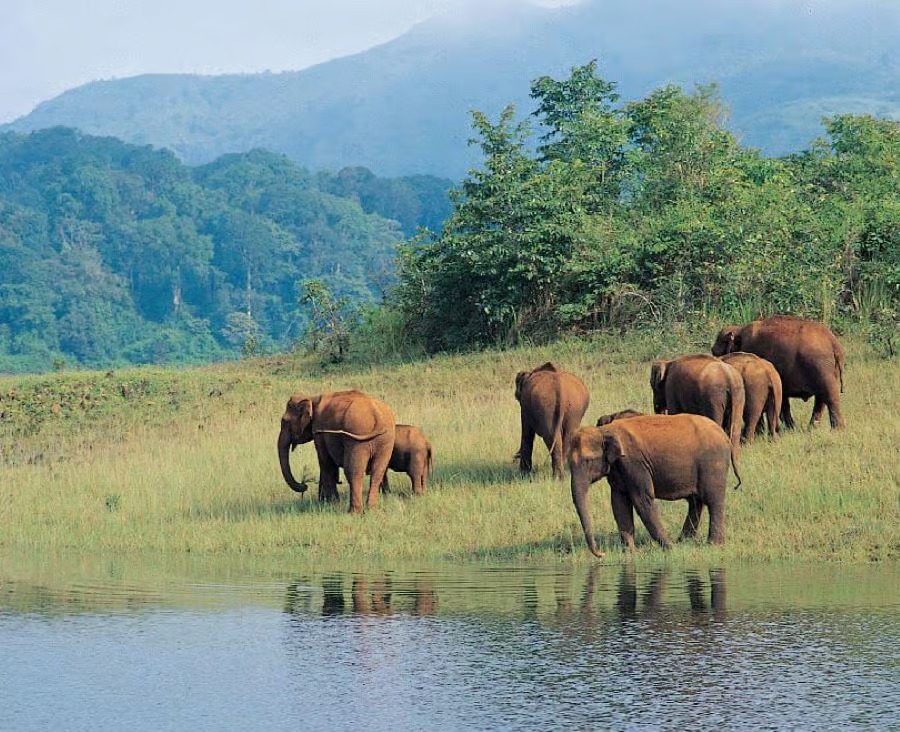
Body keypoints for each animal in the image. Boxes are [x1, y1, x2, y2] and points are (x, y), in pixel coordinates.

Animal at [568, 414, 741, 557]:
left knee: (713, 501)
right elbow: (619, 503)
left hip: (713, 463)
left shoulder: (634, 463)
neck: (604, 430)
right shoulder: (618, 469)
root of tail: (725, 437)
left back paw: (713, 545)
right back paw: (684, 541)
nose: (601, 554)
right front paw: (631, 553)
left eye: (588, 461)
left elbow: (642, 500)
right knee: (696, 501)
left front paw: (670, 549)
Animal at [712, 315, 845, 429]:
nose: (713, 351)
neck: (739, 330)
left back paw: (837, 429)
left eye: (715, 351)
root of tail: (834, 343)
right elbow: (783, 400)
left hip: (821, 367)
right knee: (820, 399)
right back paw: (812, 428)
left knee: (830, 395)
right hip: (828, 369)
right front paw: (791, 428)